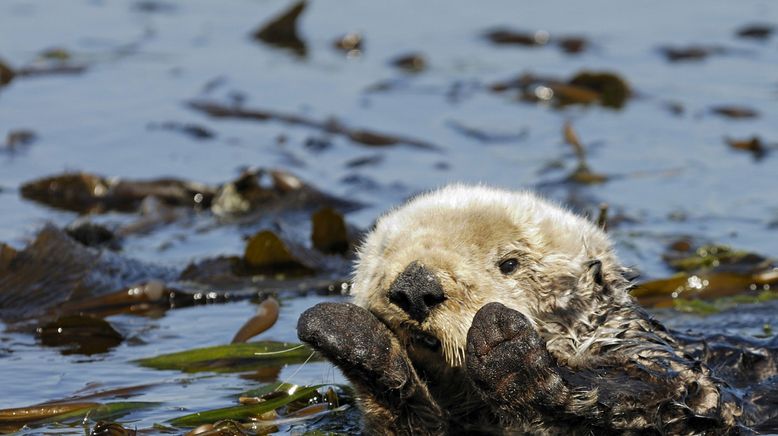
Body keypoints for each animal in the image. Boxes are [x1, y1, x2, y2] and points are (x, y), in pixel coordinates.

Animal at [296, 186, 768, 434]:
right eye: (384, 255)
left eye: (510, 263)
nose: (415, 287)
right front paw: (354, 336)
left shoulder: (657, 368)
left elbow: (656, 395)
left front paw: (503, 342)